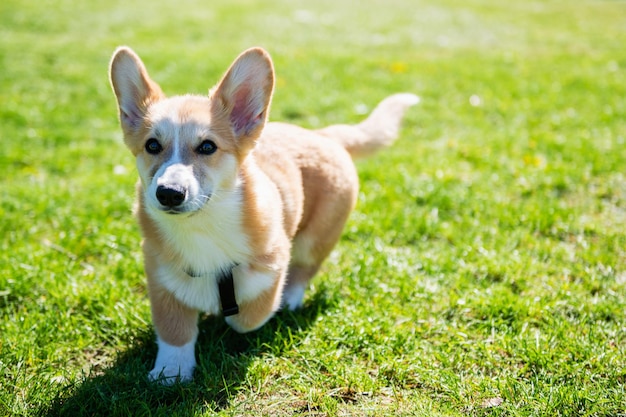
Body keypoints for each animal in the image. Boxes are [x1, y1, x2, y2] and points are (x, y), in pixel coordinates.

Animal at [109, 46, 416, 384]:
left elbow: (247, 317)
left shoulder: (274, 263)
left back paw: (290, 300)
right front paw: (170, 373)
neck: (203, 226)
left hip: (314, 240)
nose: (169, 193)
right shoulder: (161, 277)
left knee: (303, 272)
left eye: (207, 147)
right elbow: (174, 331)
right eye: (152, 145)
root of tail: (323, 135)